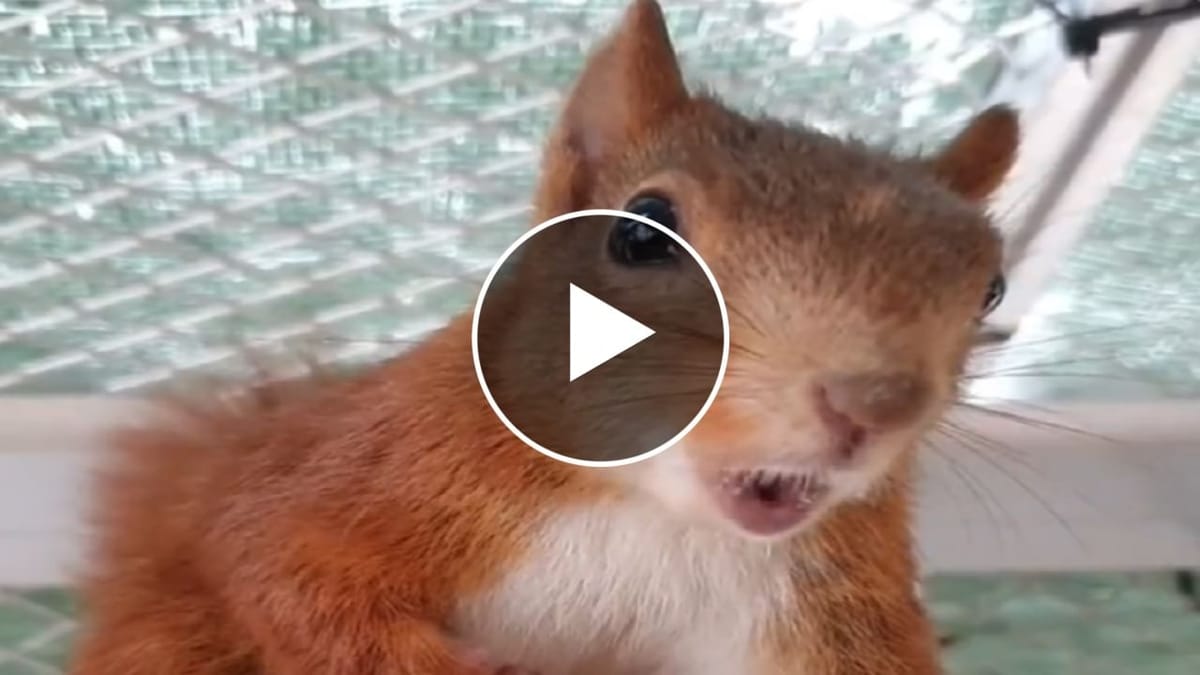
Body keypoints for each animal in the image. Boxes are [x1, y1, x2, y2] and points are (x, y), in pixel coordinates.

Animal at [68, 1, 1019, 673]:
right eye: (640, 232)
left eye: (992, 289)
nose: (874, 403)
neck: (655, 511)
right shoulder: (362, 469)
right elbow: (280, 562)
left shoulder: (834, 605)